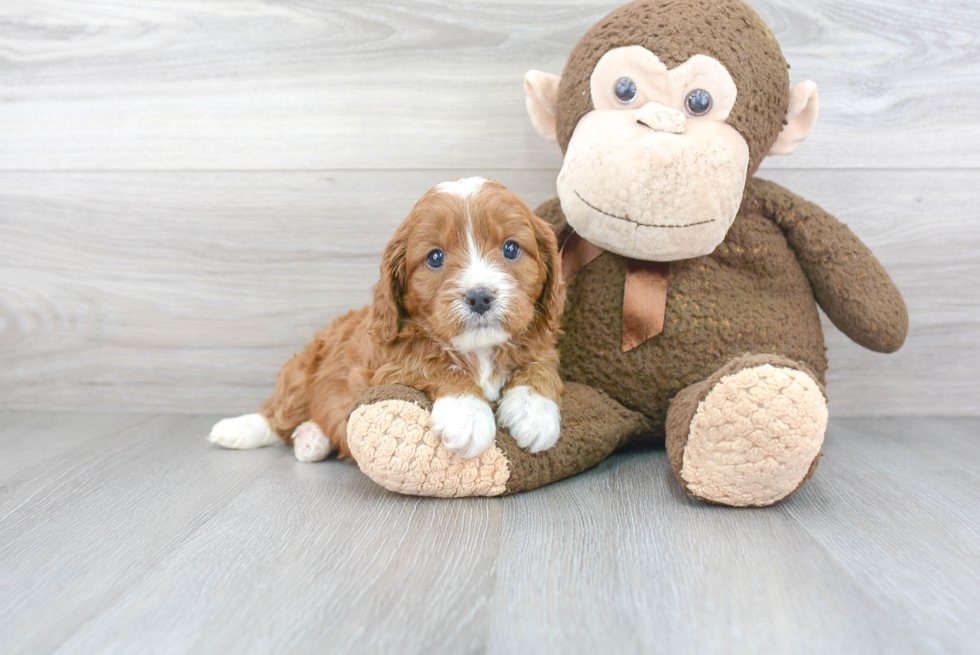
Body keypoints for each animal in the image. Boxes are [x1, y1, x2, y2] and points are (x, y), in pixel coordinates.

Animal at [212, 177, 568, 464]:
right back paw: (238, 429)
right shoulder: (386, 364)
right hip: (301, 371)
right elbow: (435, 362)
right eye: (435, 257)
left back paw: (311, 439)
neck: (478, 350)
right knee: (278, 414)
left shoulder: (542, 344)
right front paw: (466, 414)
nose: (479, 297)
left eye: (511, 249)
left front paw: (534, 411)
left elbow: (540, 365)